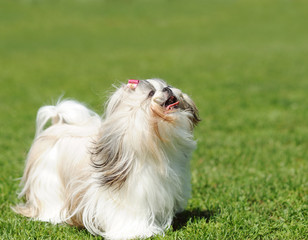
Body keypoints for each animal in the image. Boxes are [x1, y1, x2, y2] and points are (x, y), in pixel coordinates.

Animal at [13, 79, 200, 240]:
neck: (153, 147)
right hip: (47, 180)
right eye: (151, 93)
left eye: (168, 85)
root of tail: (57, 125)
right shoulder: (129, 197)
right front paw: (137, 232)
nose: (168, 89)